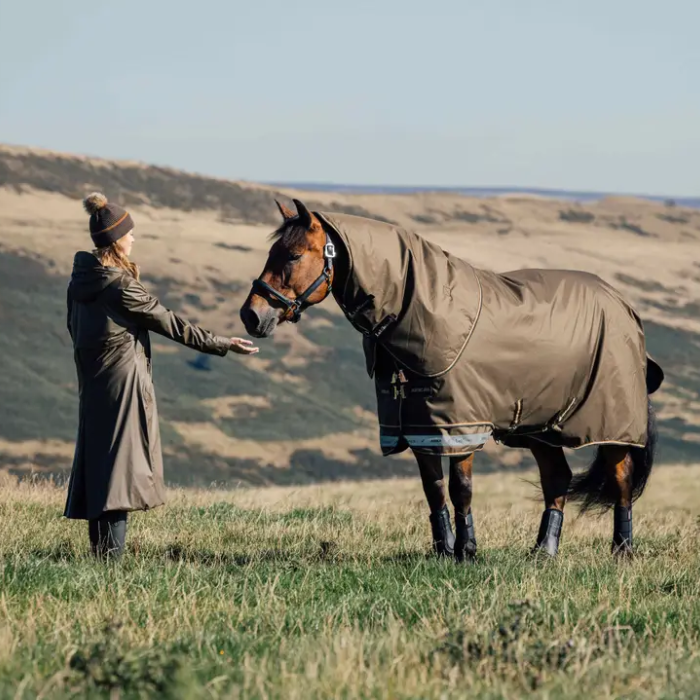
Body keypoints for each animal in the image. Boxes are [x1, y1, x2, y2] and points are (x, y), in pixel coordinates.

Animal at [239, 198, 664, 561]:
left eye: (294, 255)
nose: (251, 315)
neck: (423, 309)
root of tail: (623, 305)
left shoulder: (460, 425)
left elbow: (461, 489)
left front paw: (467, 550)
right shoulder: (418, 426)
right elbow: (434, 490)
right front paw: (444, 549)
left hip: (612, 422)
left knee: (621, 478)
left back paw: (622, 550)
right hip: (540, 427)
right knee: (556, 479)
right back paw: (543, 552)